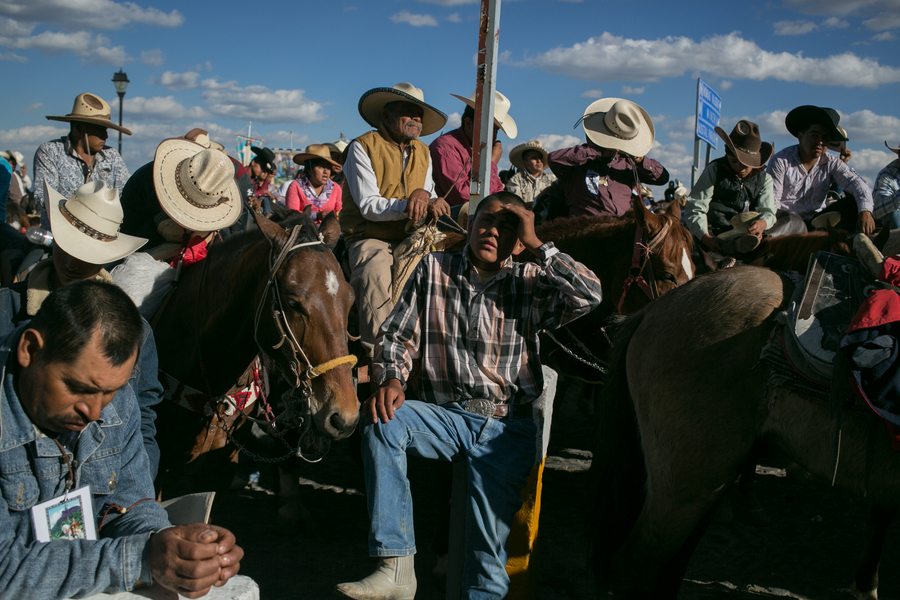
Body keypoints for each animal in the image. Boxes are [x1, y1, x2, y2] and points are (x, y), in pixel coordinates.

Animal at [596, 268, 896, 600]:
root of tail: (651, 310)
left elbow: (880, 518)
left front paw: (865, 585)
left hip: (710, 479)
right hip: (687, 484)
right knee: (636, 568)